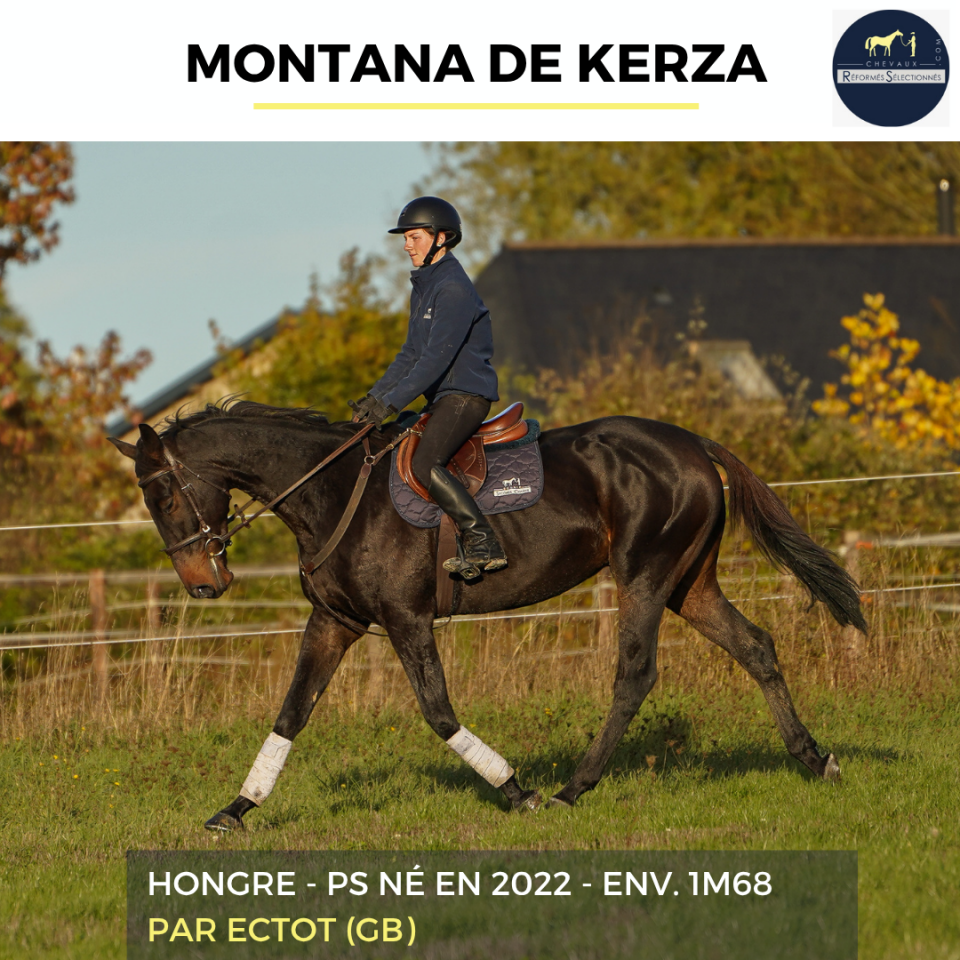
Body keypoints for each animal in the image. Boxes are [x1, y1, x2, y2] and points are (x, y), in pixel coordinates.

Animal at [109, 401, 865, 831]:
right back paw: (814, 758)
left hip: (646, 576)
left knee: (634, 675)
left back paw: (570, 790)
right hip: (689, 584)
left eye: (164, 496)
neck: (331, 491)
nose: (203, 585)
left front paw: (516, 791)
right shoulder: (335, 623)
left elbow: (439, 713)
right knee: (756, 646)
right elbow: (291, 713)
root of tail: (690, 444)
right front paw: (238, 810)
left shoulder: (406, 620)